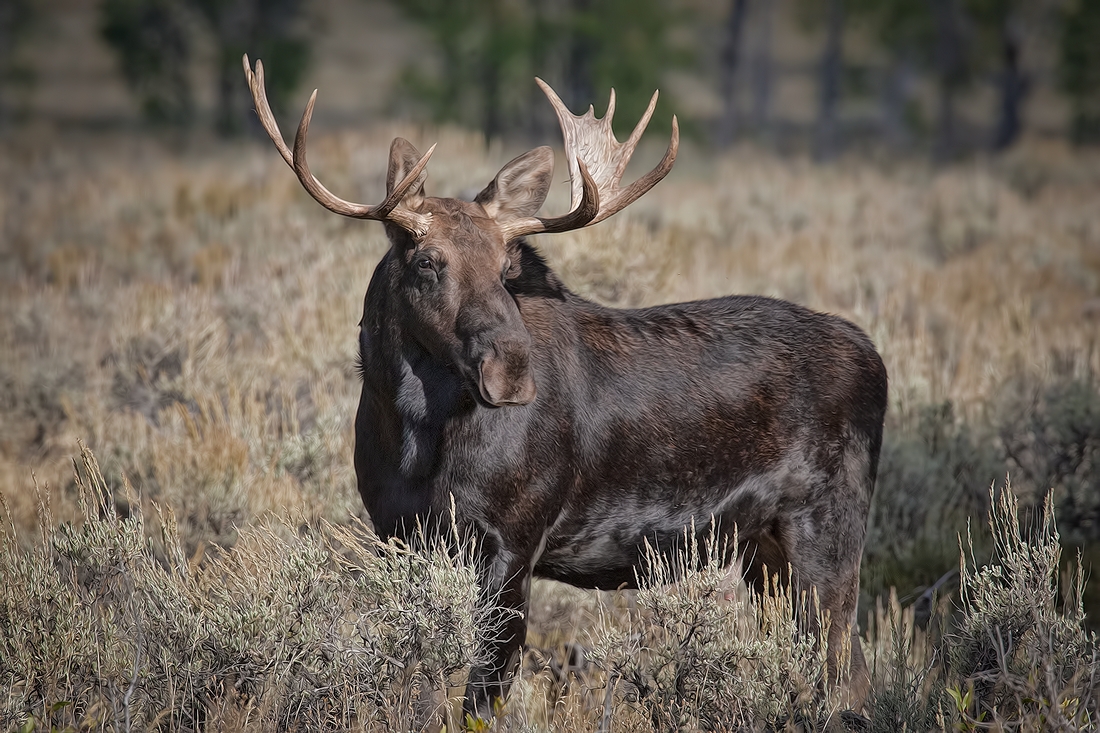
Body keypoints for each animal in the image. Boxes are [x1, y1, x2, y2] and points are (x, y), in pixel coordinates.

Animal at [245, 54, 888, 717]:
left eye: (507, 265)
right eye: (427, 261)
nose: (510, 368)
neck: (411, 433)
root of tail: (874, 357)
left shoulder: (513, 538)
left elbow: (484, 696)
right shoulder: (397, 534)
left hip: (826, 527)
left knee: (847, 670)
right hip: (763, 549)